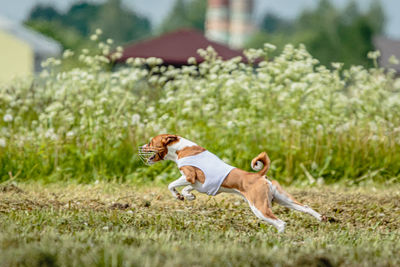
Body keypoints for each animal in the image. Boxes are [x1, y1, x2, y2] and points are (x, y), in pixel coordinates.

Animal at [139, 135, 324, 233]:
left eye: (151, 142)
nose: (141, 146)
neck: (182, 149)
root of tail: (259, 175)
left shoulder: (189, 175)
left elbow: (171, 185)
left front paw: (179, 195)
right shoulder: (199, 184)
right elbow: (186, 189)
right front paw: (188, 196)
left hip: (259, 207)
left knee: (280, 223)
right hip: (283, 199)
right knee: (306, 207)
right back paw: (321, 218)